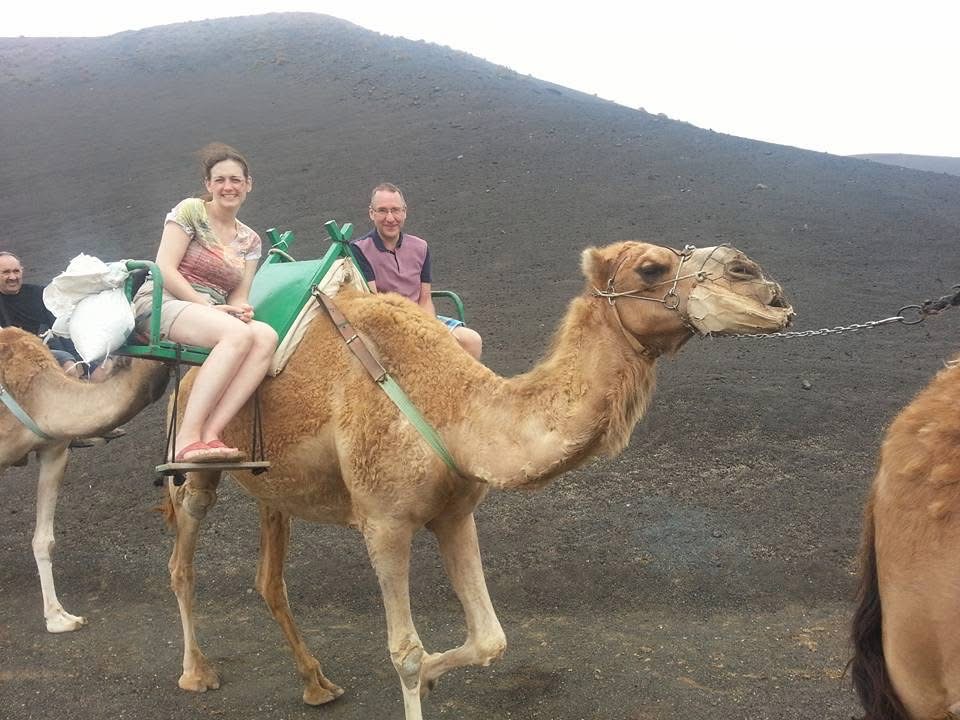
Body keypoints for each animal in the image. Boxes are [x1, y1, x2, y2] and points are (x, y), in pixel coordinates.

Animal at [162, 241, 793, 720]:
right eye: (651, 268)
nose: (762, 283)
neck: (452, 407)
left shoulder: (455, 512)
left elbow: (491, 639)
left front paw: (436, 679)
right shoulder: (384, 522)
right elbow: (405, 652)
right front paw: (422, 677)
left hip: (276, 485)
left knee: (270, 576)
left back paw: (317, 684)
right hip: (200, 453)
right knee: (183, 549)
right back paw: (196, 672)